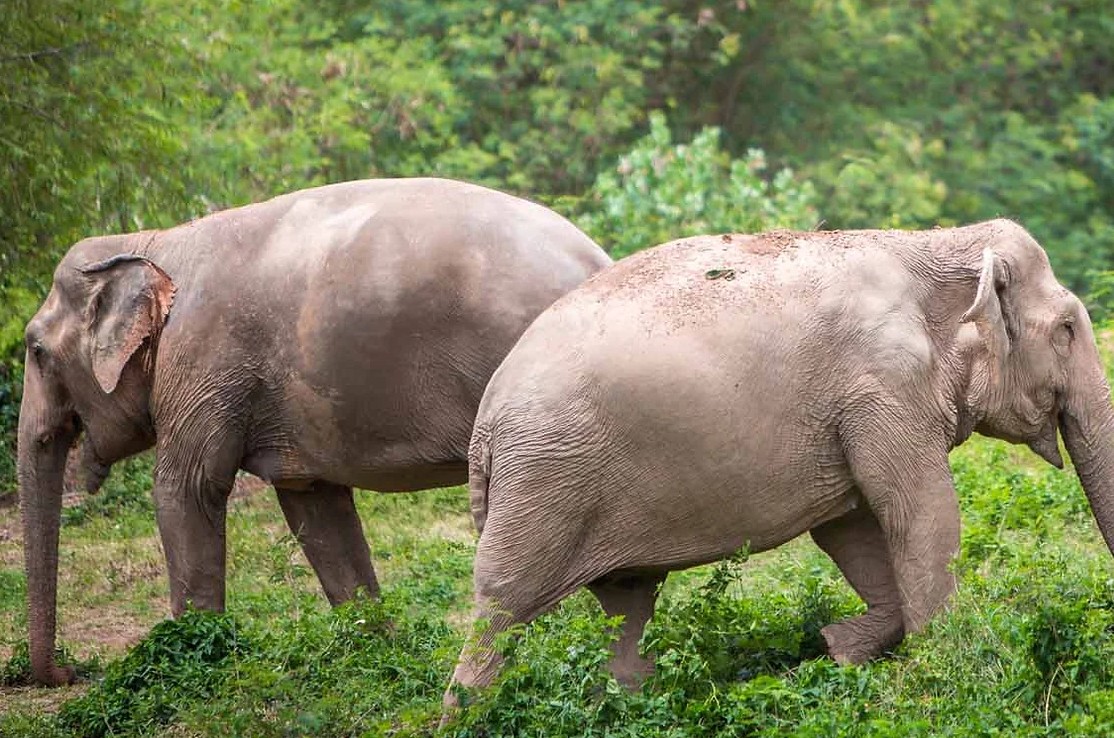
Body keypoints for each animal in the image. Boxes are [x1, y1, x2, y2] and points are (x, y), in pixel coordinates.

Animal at [18, 177, 611, 686]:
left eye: (35, 349)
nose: (69, 672)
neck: (154, 243)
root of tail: (599, 260)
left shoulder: (201, 365)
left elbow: (185, 492)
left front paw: (199, 661)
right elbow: (317, 511)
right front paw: (377, 652)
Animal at [444, 219, 1114, 703]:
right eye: (1067, 329)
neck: (936, 243)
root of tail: (486, 420)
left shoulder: (857, 405)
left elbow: (851, 528)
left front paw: (838, 646)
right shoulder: (883, 386)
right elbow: (919, 514)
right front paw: (945, 671)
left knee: (626, 601)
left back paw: (635, 697)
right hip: (543, 476)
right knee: (504, 598)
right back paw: (470, 712)